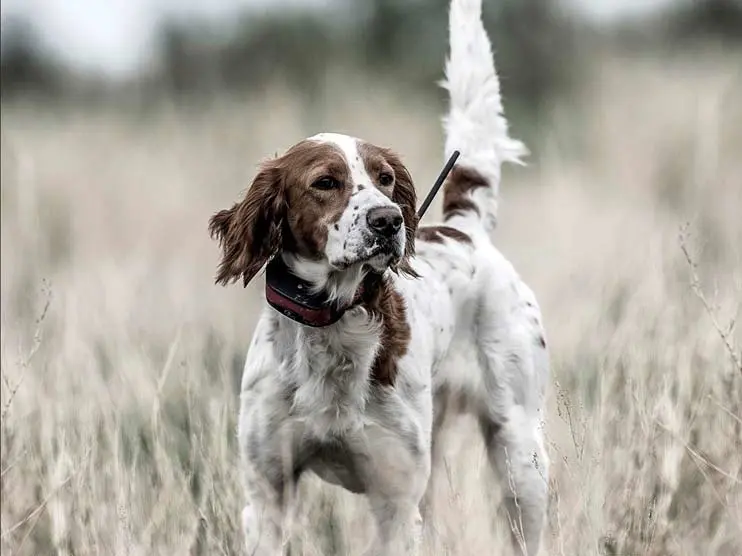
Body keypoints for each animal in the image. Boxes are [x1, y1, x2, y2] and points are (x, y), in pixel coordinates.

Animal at [212, 0, 548, 552]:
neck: (333, 326)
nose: (388, 221)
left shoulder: (395, 501)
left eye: (385, 178)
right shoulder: (267, 496)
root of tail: (466, 230)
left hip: (521, 457)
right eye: (325, 182)